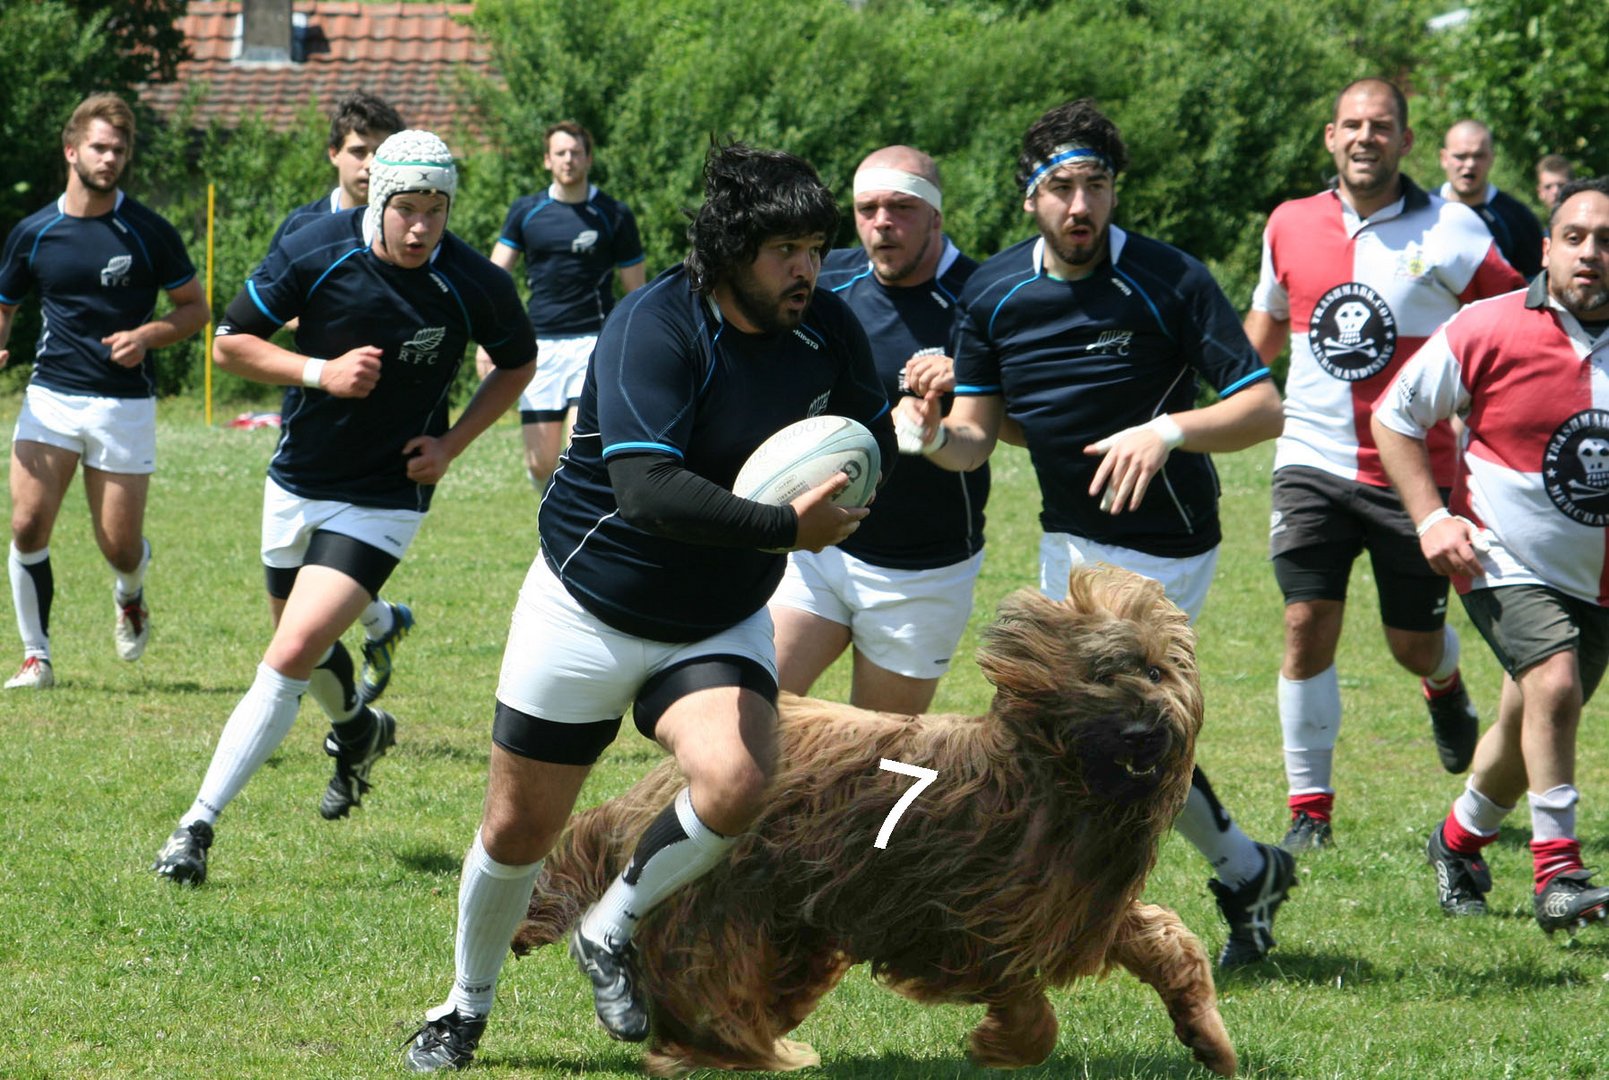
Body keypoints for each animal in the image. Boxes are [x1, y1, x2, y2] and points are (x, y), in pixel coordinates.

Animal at [511, 569, 1229, 1075]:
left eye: (1157, 671)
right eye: (1103, 677)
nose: (1143, 732)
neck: (1057, 776)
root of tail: (653, 791)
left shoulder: (1076, 906)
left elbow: (1166, 941)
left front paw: (1208, 1039)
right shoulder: (973, 915)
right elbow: (1019, 994)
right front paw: (1001, 1044)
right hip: (729, 906)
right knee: (713, 982)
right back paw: (744, 1051)